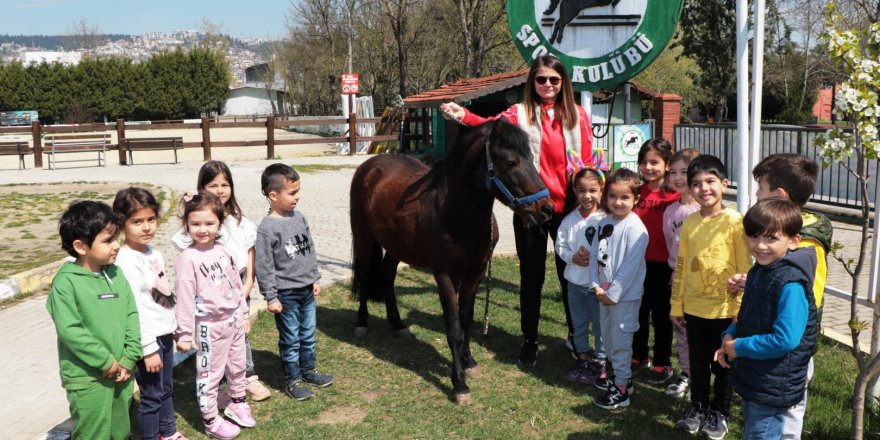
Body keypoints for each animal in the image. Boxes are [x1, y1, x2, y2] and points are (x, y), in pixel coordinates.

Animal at [348, 118, 552, 404]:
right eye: (511, 162)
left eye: (531, 158)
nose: (545, 208)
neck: (457, 213)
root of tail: (370, 166)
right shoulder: (444, 276)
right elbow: (454, 328)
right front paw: (459, 385)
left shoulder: (475, 273)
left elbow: (466, 320)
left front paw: (468, 362)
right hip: (364, 237)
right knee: (365, 275)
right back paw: (361, 323)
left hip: (396, 245)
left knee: (387, 277)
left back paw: (398, 324)